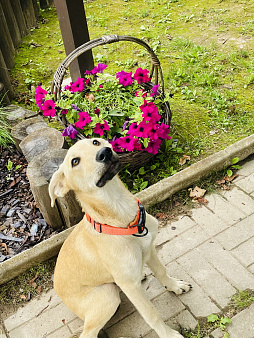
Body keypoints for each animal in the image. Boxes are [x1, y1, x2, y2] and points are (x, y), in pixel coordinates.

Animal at [49, 138, 192, 338]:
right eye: (75, 161)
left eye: (95, 142)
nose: (104, 153)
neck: (122, 218)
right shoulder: (130, 286)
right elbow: (151, 314)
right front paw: (168, 334)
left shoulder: (150, 249)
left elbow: (161, 271)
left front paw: (174, 286)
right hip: (108, 296)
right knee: (88, 333)